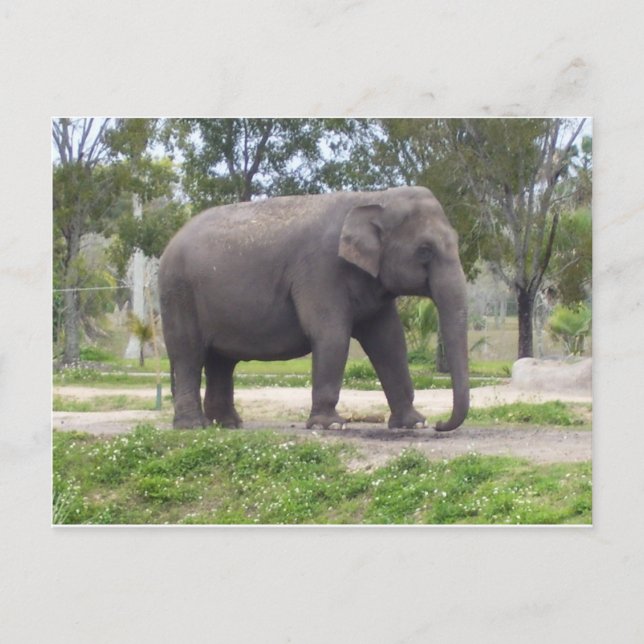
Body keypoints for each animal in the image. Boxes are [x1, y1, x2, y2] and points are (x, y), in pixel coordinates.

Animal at [158, 186, 469, 432]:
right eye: (425, 251)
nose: (440, 424)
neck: (373, 197)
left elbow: (390, 341)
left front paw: (413, 423)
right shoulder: (320, 270)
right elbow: (331, 334)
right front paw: (330, 425)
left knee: (220, 360)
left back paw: (228, 424)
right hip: (178, 294)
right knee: (188, 353)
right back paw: (193, 426)